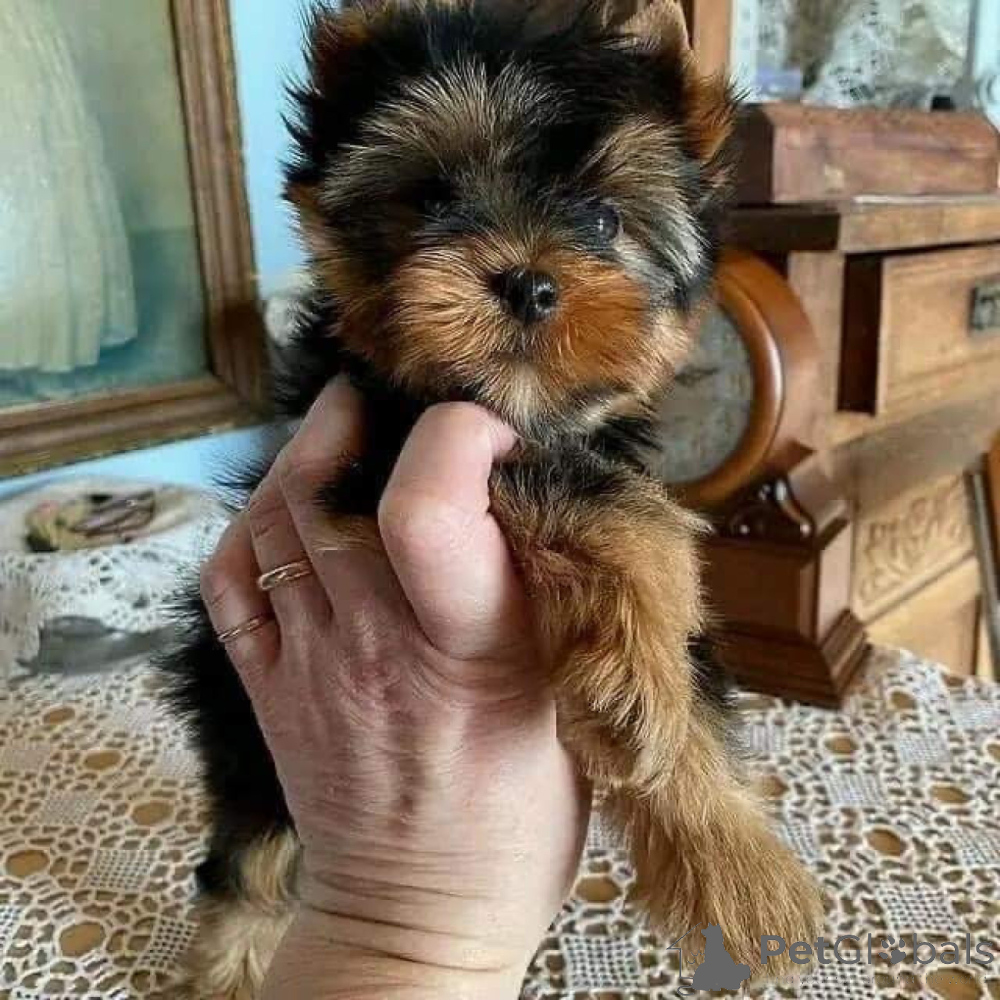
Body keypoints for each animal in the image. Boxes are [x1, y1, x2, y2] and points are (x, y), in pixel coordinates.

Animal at [160, 1, 823, 994]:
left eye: (603, 218)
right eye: (432, 197)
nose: (529, 281)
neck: (519, 408)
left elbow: (686, 690)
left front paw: (731, 854)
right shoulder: (381, 452)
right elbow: (599, 503)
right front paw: (651, 625)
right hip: (239, 710)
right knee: (253, 838)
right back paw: (232, 956)